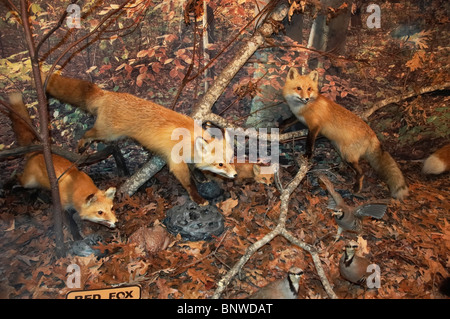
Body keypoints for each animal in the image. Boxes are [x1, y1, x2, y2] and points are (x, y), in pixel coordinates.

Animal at [7, 92, 117, 230]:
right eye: (100, 212)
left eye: (112, 208)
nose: (116, 222)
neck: (74, 185)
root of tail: (38, 150)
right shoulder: (63, 206)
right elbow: (71, 225)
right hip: (29, 182)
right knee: (19, 177)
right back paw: (12, 184)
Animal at [43, 72, 237, 205]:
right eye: (220, 164)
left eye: (230, 160)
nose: (235, 175)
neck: (189, 140)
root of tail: (108, 94)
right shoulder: (175, 163)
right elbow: (188, 183)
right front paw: (198, 198)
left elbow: (194, 170)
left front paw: (200, 176)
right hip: (107, 133)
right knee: (89, 133)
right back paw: (82, 144)